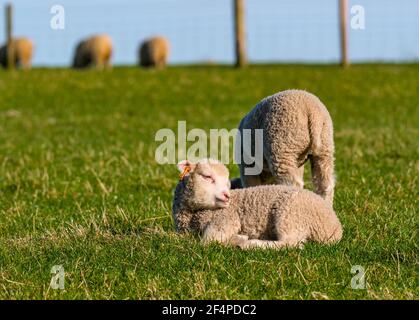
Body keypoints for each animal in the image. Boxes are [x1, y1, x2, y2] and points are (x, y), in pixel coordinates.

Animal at [172, 159, 342, 250]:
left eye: (227, 182)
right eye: (207, 176)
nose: (227, 195)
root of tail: (334, 226)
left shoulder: (226, 219)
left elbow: (208, 240)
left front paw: (238, 239)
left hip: (290, 215)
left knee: (290, 243)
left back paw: (251, 244)